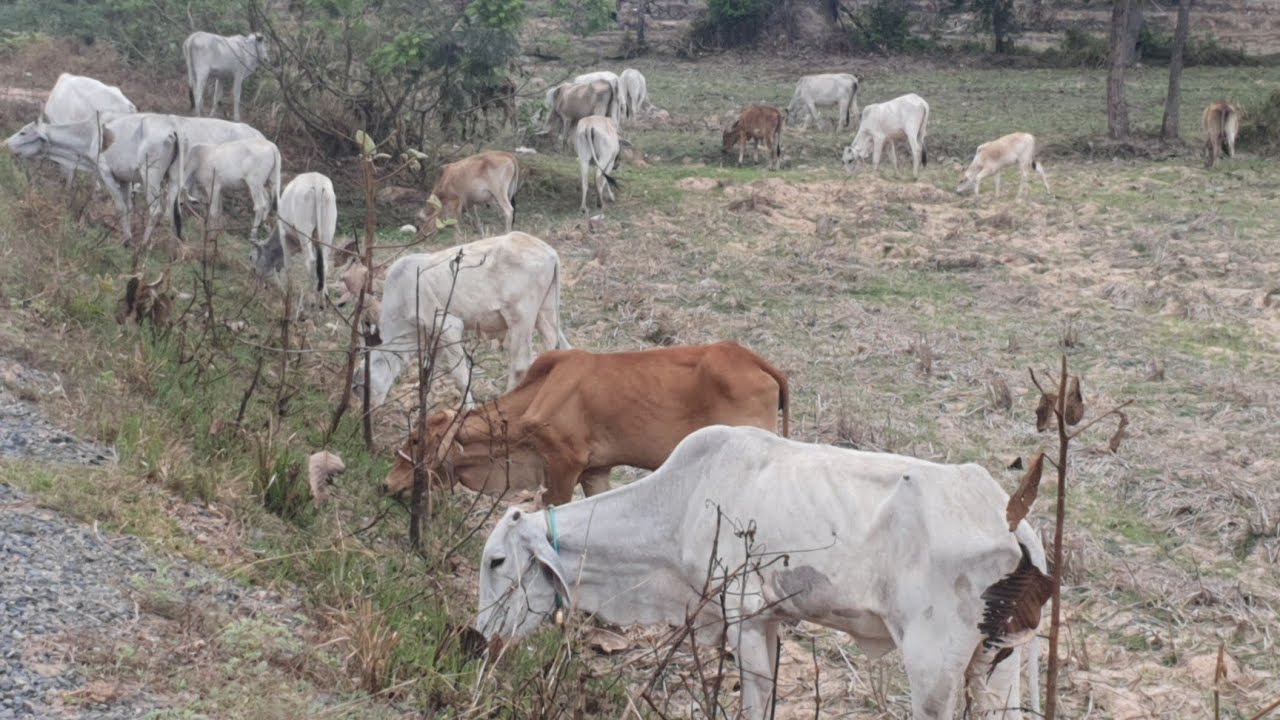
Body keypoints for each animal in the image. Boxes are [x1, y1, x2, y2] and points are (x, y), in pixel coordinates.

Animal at [251, 172, 336, 317]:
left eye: (251, 257)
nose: (255, 277)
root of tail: (317, 183)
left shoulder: (284, 236)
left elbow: (288, 265)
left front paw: (287, 292)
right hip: (327, 232)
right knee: (323, 264)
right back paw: (322, 301)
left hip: (304, 231)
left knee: (311, 262)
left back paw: (311, 302)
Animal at [359, 232, 570, 409]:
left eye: (360, 387)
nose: (366, 411)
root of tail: (549, 252)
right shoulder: (433, 338)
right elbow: (428, 373)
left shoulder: (448, 327)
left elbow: (460, 375)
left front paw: (467, 409)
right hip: (545, 310)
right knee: (561, 345)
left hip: (521, 316)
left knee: (520, 364)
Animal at [472, 425, 1050, 720]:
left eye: (496, 561)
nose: (476, 641)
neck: (682, 501)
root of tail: (1012, 523)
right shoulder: (770, 620)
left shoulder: (743, 617)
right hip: (994, 666)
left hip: (933, 670)